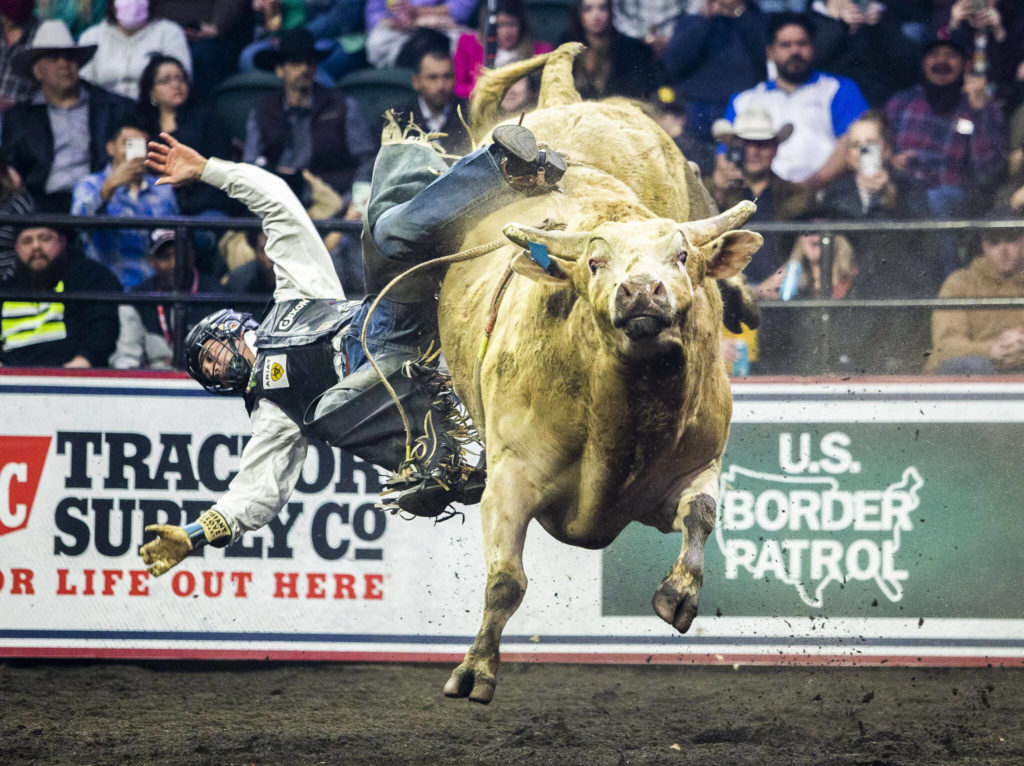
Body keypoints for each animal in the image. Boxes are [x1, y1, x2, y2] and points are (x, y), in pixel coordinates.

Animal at [432, 40, 761, 700]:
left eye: (681, 255)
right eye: (594, 260)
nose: (640, 292)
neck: (621, 417)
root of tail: (566, 99)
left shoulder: (693, 466)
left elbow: (700, 514)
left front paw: (678, 597)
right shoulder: (509, 477)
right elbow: (506, 580)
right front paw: (474, 670)